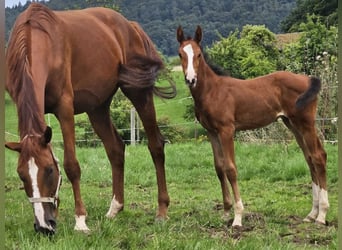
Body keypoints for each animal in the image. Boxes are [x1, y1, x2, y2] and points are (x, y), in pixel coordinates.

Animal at [4, 2, 176, 235]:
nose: (44, 227)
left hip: (138, 93)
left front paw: (80, 220)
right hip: (97, 108)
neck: (37, 38)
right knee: (116, 149)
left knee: (156, 145)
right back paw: (115, 208)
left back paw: (162, 210)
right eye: (21, 174)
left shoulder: (65, 108)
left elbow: (71, 165)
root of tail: (130, 26)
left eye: (49, 170)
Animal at [176, 26, 328, 228]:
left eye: (199, 54)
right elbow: (219, 168)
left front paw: (238, 217)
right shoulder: (211, 132)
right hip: (293, 124)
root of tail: (307, 79)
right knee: (310, 158)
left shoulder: (226, 130)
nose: (191, 79)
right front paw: (225, 212)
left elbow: (230, 169)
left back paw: (321, 215)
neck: (212, 91)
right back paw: (312, 213)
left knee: (318, 156)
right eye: (180, 54)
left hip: (306, 122)